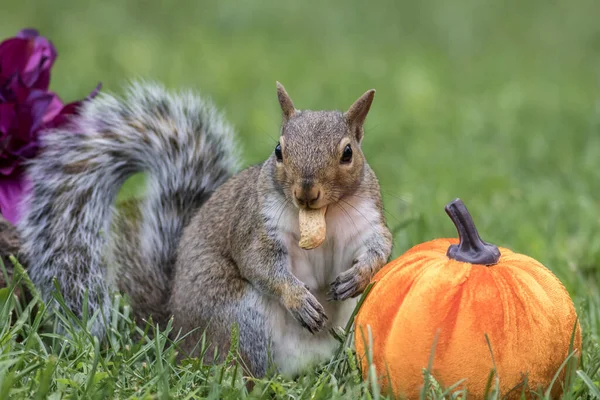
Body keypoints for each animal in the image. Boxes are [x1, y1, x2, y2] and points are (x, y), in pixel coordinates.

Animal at [15, 80, 394, 378]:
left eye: (348, 153)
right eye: (278, 150)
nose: (305, 192)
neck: (323, 216)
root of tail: (175, 337)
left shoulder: (367, 220)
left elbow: (379, 247)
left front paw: (358, 276)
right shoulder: (256, 228)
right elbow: (260, 265)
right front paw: (298, 299)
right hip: (242, 319)